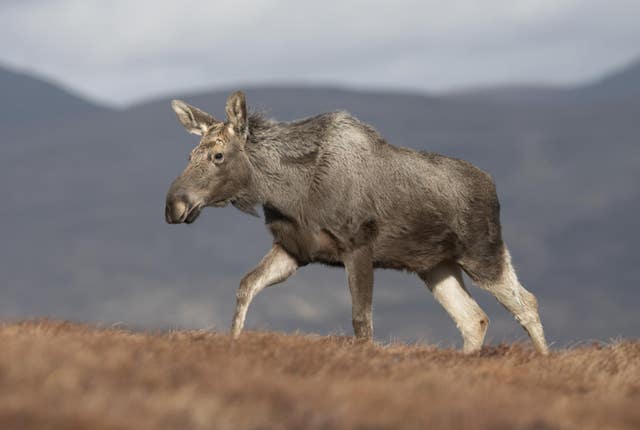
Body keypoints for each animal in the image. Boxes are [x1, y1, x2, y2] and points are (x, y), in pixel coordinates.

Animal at [165, 90, 552, 352]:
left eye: (218, 155)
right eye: (190, 154)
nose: (173, 205)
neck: (286, 191)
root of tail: (492, 186)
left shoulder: (358, 247)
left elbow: (361, 321)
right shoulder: (294, 250)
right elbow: (246, 286)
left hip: (483, 253)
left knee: (526, 303)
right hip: (436, 266)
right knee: (474, 318)